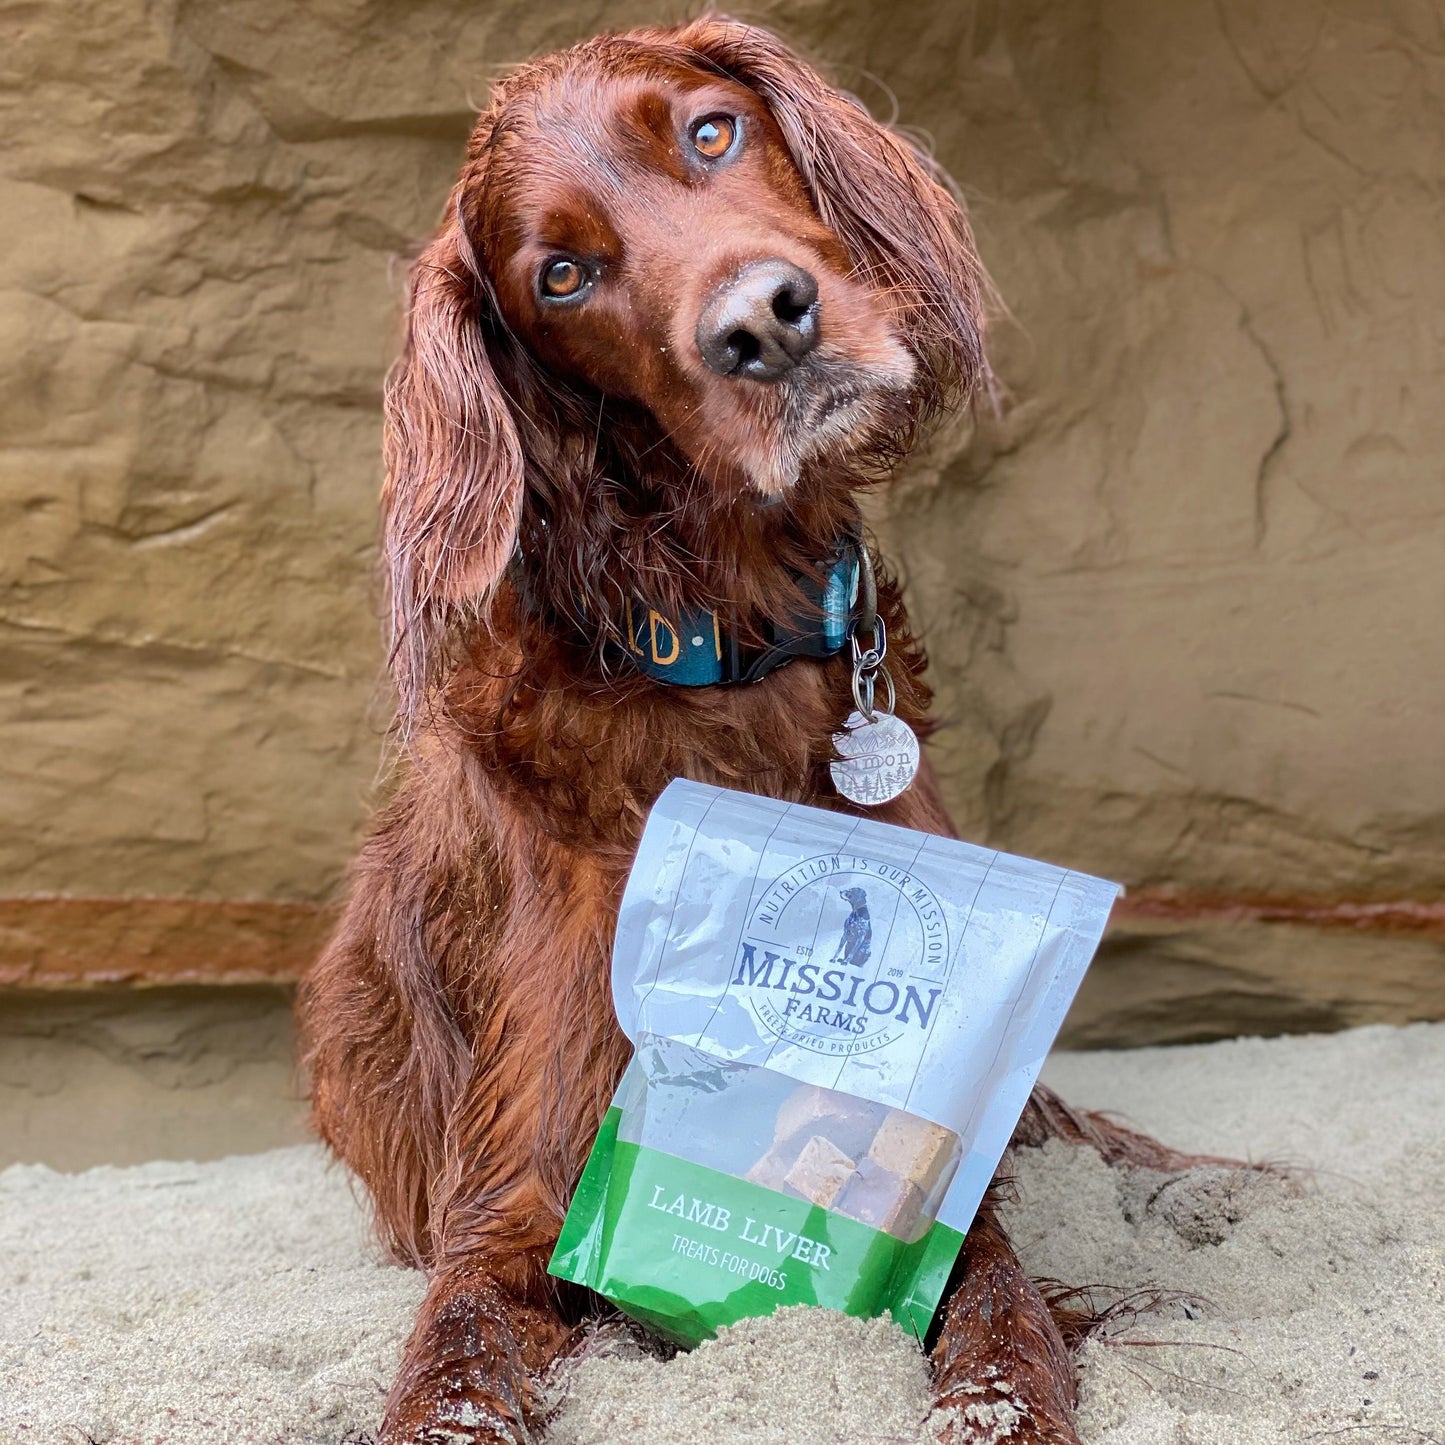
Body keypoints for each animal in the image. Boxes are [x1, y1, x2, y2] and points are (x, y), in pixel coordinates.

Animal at [299, 16, 1213, 1439]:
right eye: (561, 274)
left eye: (711, 130)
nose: (764, 325)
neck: (724, 661)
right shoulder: (513, 1208)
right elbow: (450, 1374)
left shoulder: (942, 1187)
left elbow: (999, 1320)